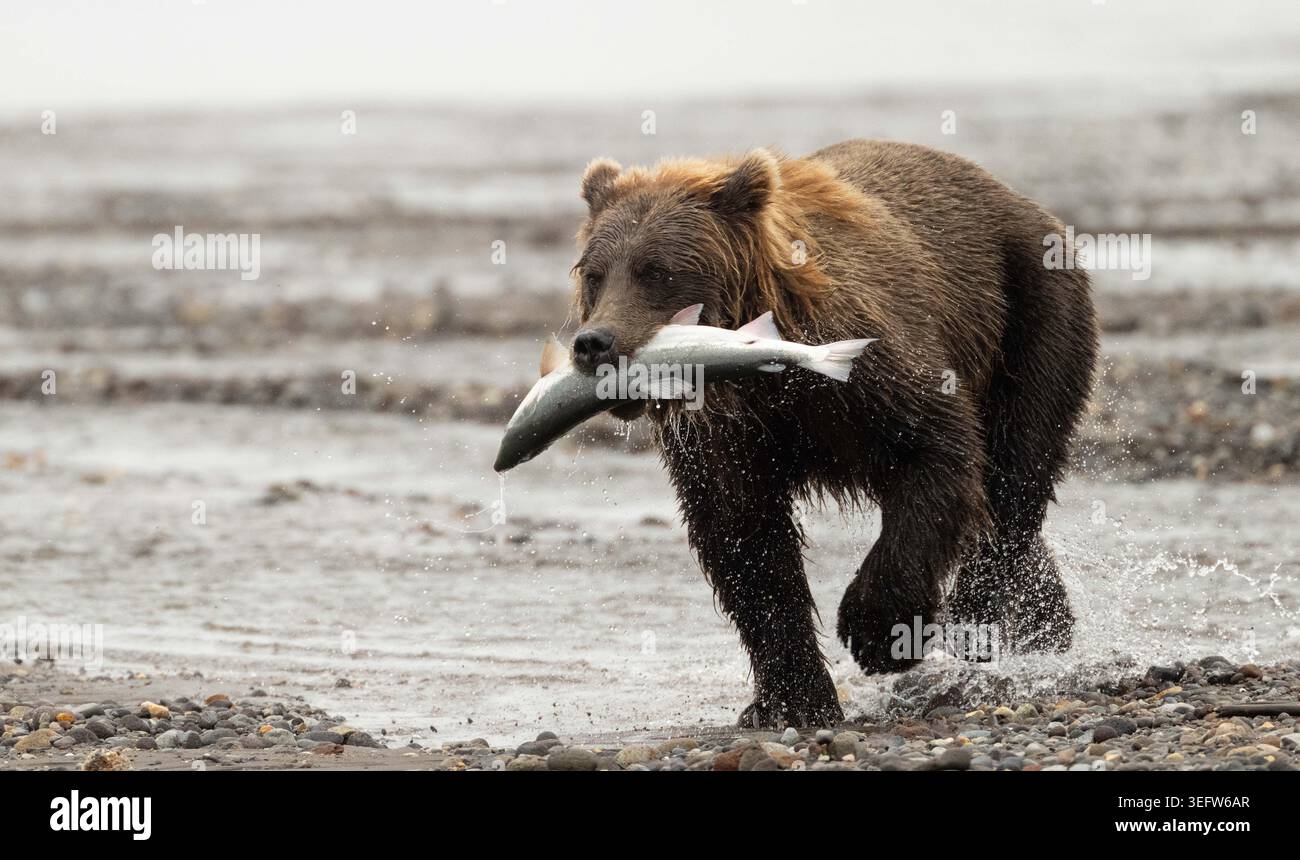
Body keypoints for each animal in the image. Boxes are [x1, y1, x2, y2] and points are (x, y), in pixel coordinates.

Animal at [568, 140, 1098, 728]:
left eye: (656, 271)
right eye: (595, 274)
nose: (595, 342)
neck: (764, 380)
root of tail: (1016, 199)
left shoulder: (871, 368)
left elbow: (939, 454)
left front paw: (878, 633)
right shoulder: (724, 437)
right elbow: (746, 545)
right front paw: (792, 699)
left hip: (1030, 309)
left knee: (1016, 467)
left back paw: (980, 617)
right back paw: (1045, 622)